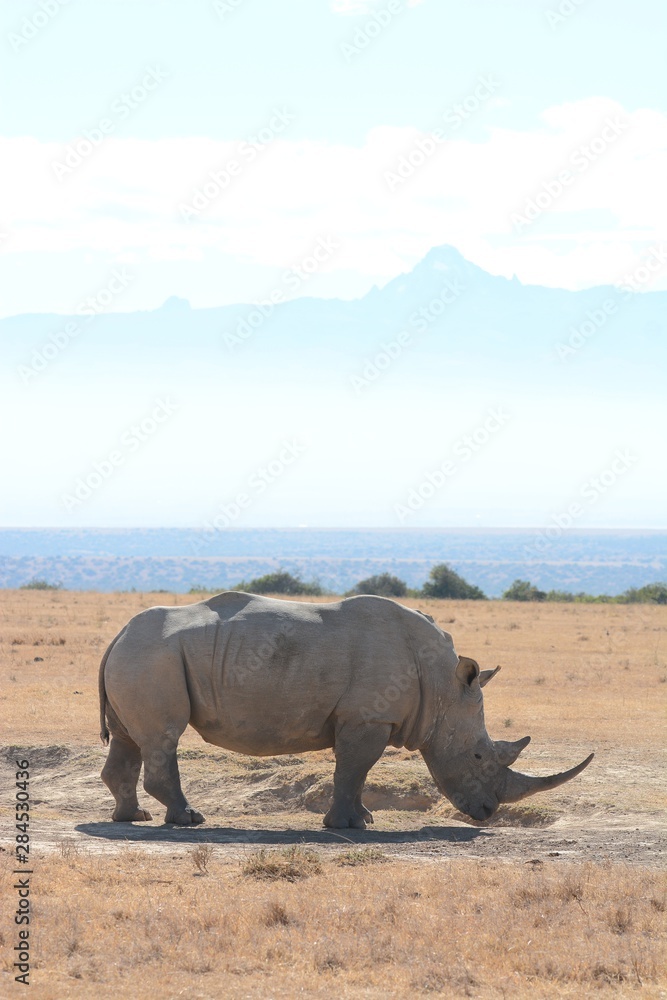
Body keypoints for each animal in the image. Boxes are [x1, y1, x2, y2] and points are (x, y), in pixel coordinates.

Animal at [98, 592, 593, 827]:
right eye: (477, 756)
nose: (489, 812)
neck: (442, 685)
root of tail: (118, 633)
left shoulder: (365, 718)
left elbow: (355, 772)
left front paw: (364, 818)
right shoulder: (367, 718)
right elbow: (354, 769)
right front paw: (351, 826)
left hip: (143, 656)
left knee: (130, 739)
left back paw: (134, 819)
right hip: (152, 657)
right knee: (163, 736)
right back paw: (189, 819)